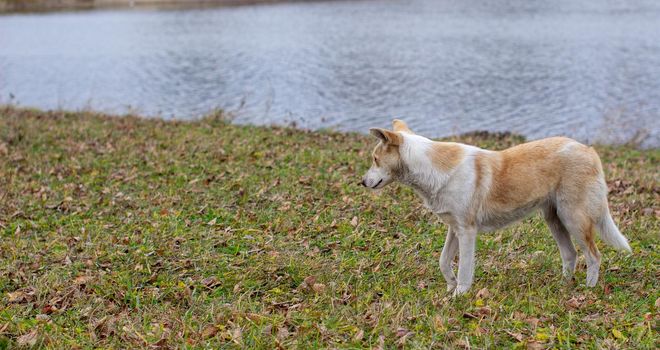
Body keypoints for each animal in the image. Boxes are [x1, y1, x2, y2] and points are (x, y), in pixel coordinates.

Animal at [364, 119, 632, 296]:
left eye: (375, 160)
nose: (362, 182)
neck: (432, 168)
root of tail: (588, 150)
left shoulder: (467, 232)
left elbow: (465, 269)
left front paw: (458, 295)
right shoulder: (454, 229)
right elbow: (443, 261)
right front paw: (449, 286)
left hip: (573, 218)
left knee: (594, 256)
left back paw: (588, 289)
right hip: (554, 220)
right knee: (571, 255)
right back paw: (563, 286)